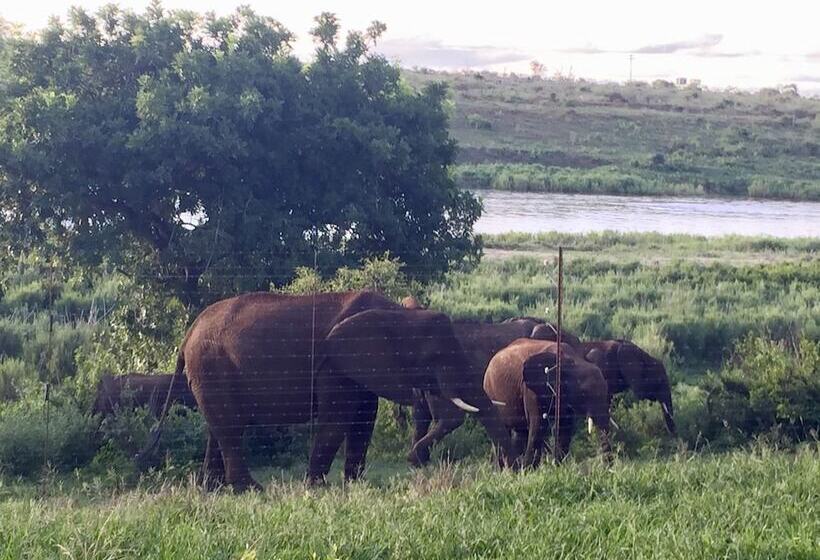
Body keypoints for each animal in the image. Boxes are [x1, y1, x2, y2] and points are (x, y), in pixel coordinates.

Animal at [147, 291, 514, 491]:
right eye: (434, 357)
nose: (511, 469)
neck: (396, 312)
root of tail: (188, 333)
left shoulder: (362, 366)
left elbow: (364, 420)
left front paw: (354, 485)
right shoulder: (335, 364)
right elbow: (338, 419)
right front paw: (316, 488)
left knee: (218, 427)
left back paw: (213, 490)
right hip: (212, 366)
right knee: (230, 427)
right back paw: (252, 490)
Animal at [483, 339, 612, 467]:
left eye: (606, 390)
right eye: (583, 394)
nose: (606, 467)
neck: (573, 361)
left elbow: (565, 427)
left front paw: (558, 466)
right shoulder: (531, 390)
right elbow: (538, 426)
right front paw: (529, 470)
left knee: (519, 432)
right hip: (491, 391)